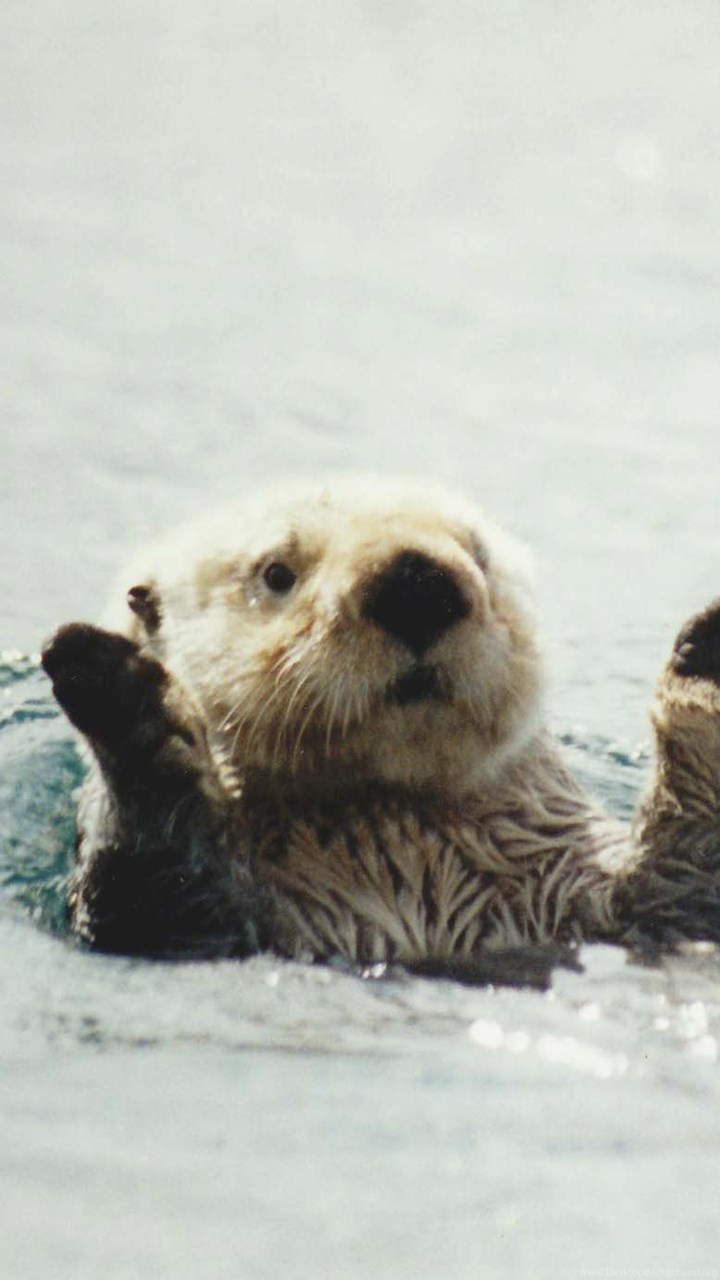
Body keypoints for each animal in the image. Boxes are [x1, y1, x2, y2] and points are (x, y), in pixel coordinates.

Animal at [40, 479, 720, 974]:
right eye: (277, 573)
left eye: (478, 555)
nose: (416, 581)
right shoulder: (203, 927)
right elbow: (153, 893)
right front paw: (119, 697)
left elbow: (688, 886)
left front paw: (706, 656)